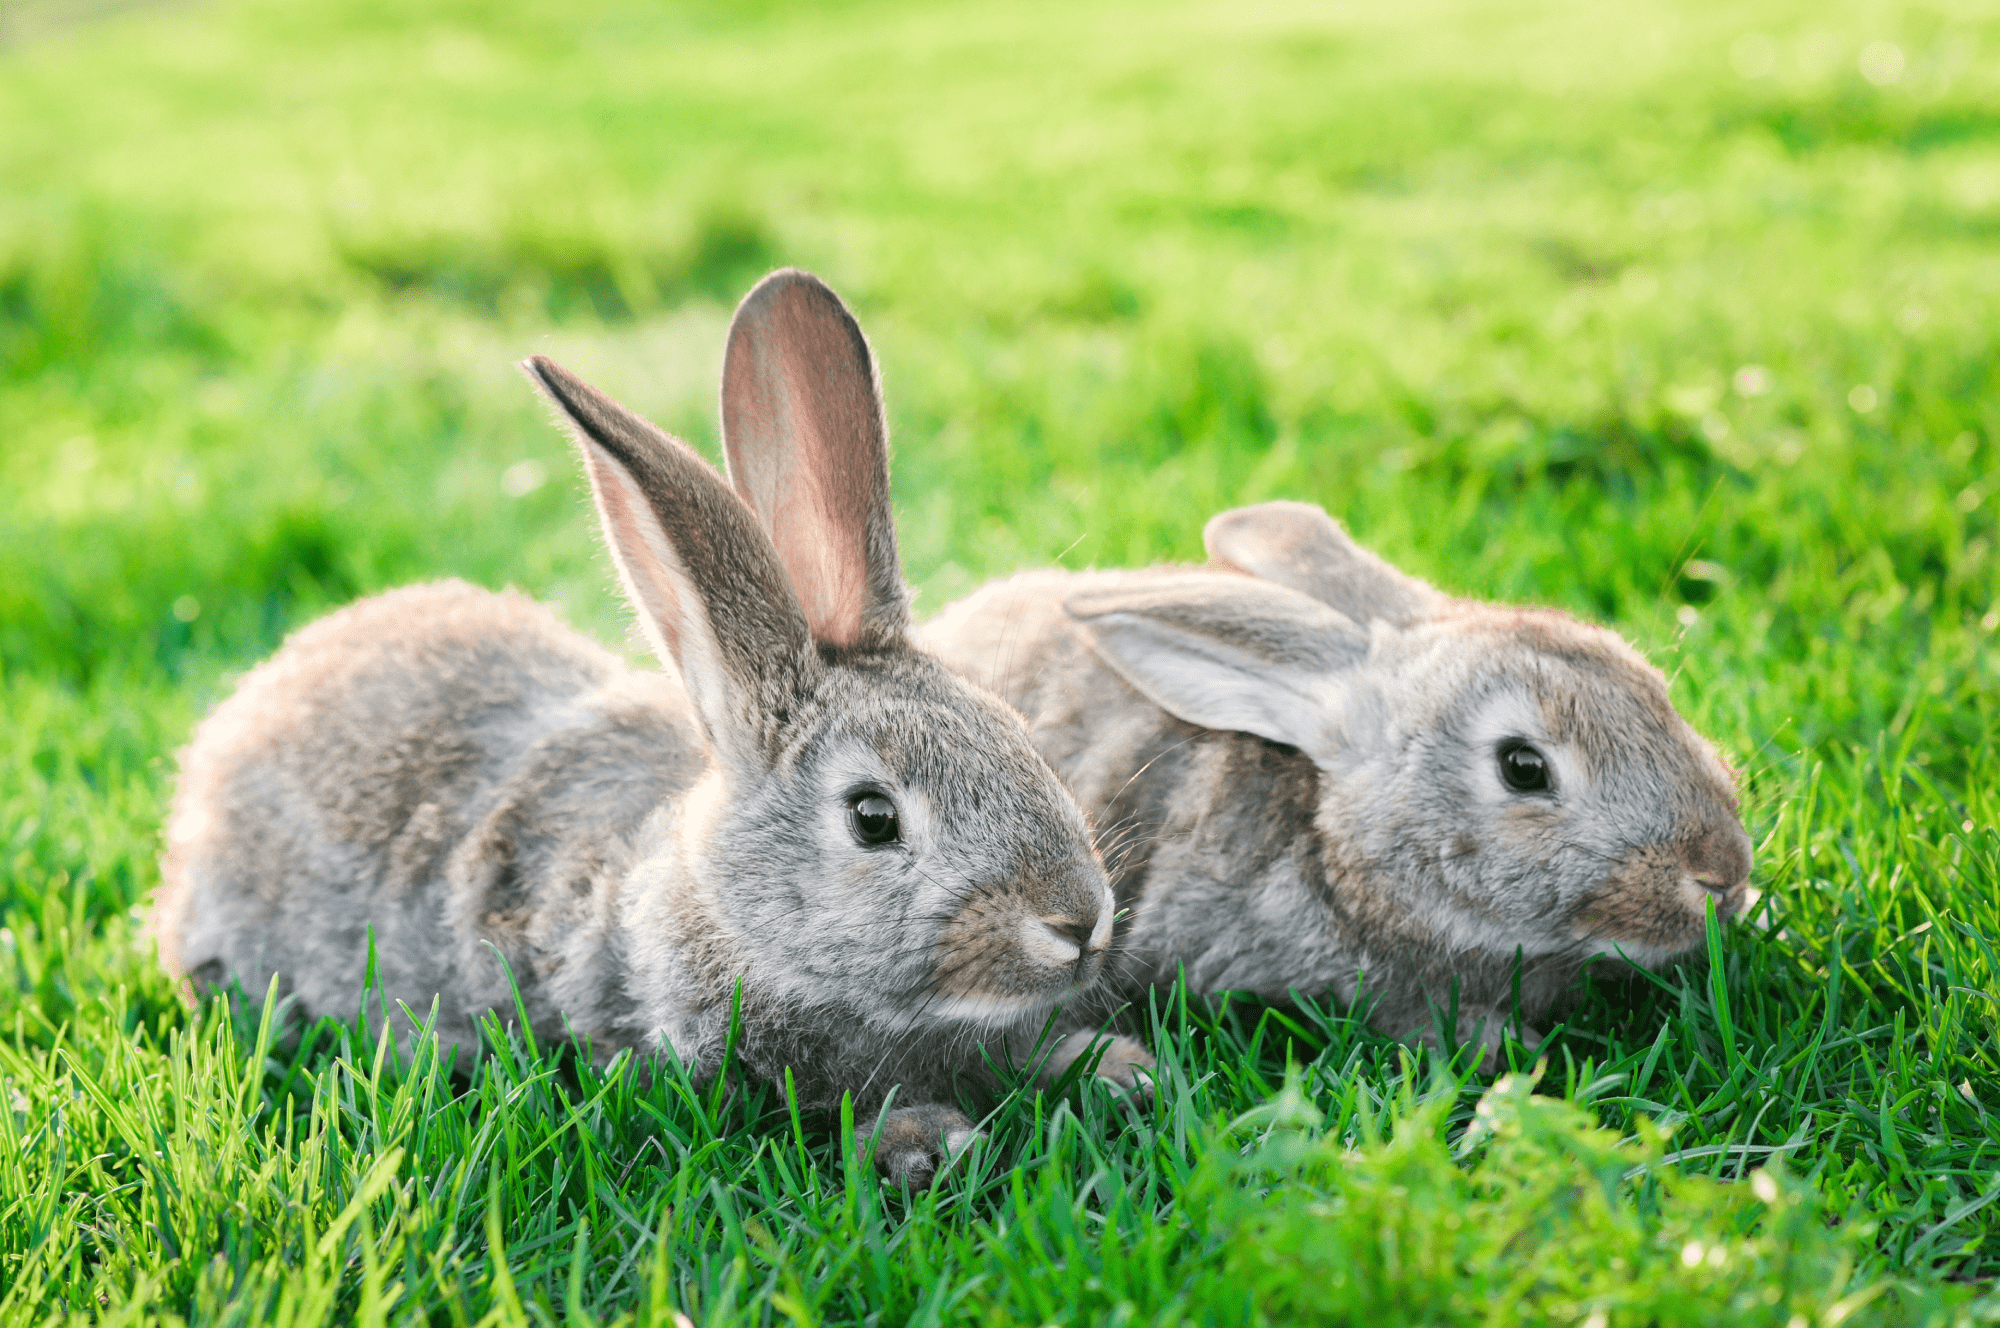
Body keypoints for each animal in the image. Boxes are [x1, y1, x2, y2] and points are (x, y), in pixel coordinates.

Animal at [152, 268, 1160, 1184]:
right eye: (873, 818)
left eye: (1021, 735)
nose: (1079, 921)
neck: (736, 919)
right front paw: (930, 1145)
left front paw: (1118, 1071)